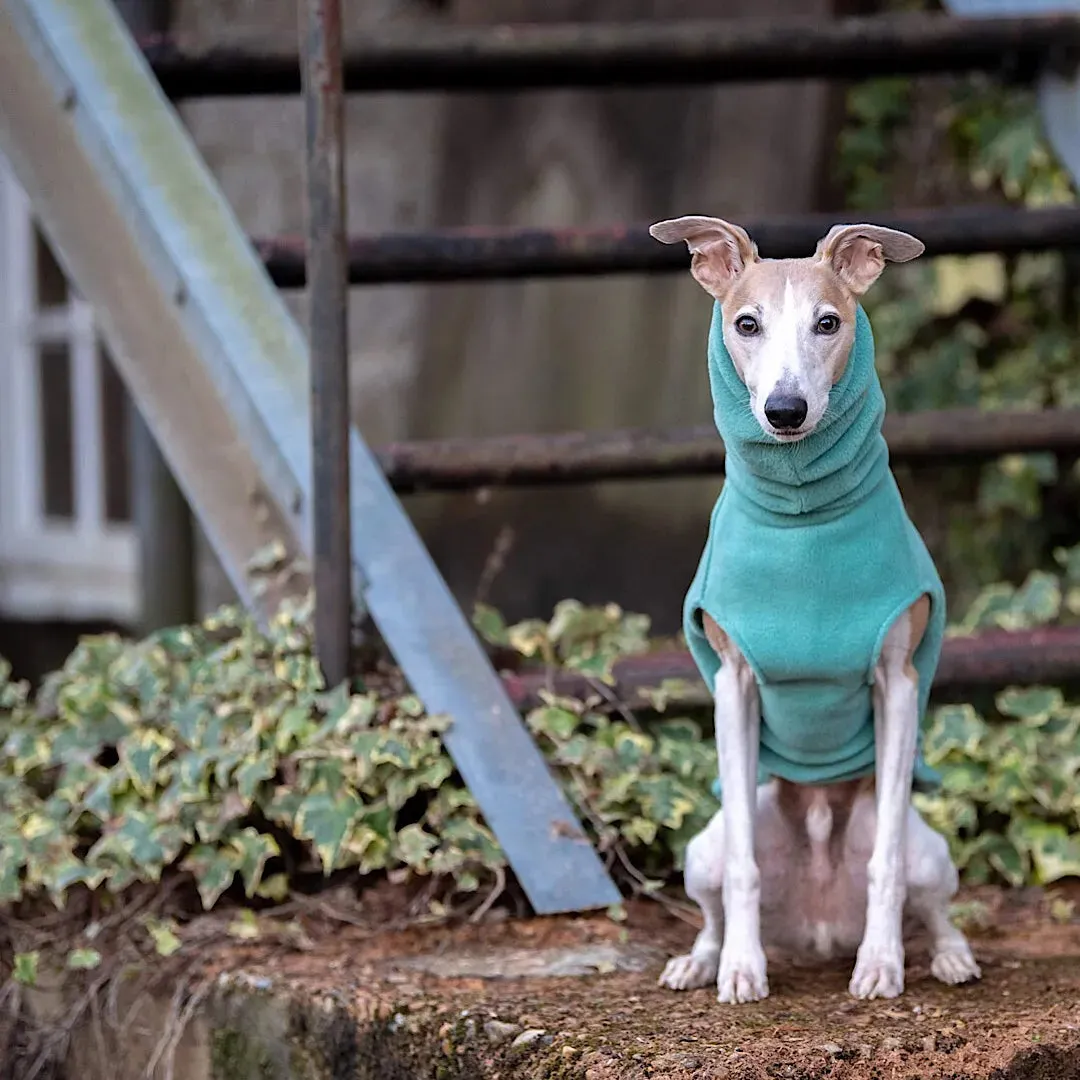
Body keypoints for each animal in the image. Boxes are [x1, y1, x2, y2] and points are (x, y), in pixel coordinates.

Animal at [643, 217, 984, 1002]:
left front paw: (882, 963)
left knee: (931, 899)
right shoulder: (733, 686)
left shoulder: (898, 685)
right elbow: (744, 867)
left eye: (828, 323)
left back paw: (947, 955)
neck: (803, 518)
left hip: (931, 848)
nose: (785, 411)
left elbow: (886, 862)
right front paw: (741, 969)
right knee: (715, 896)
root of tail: (819, 924)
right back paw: (701, 959)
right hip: (702, 848)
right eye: (746, 323)